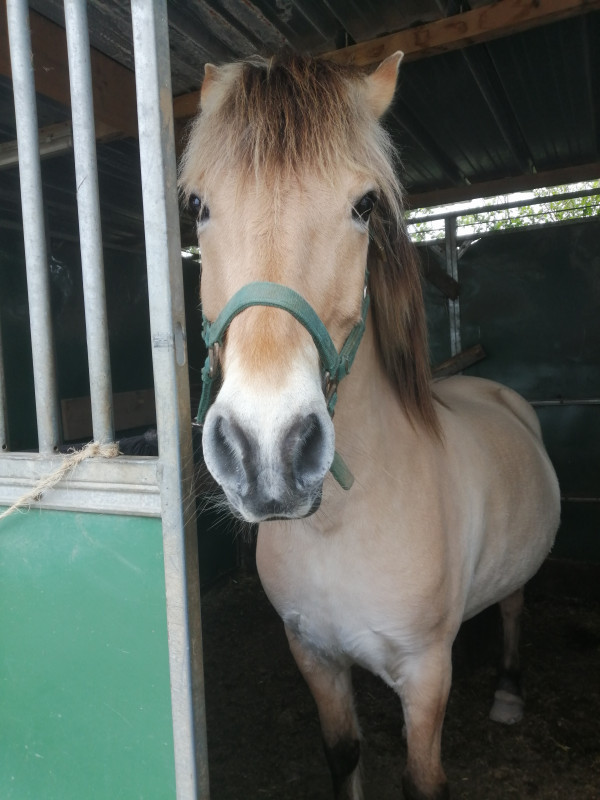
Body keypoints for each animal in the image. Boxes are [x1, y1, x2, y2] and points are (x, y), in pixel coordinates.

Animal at [179, 53, 564, 796]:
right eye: (199, 206)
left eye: (362, 207)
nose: (266, 449)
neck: (340, 527)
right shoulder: (314, 657)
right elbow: (343, 754)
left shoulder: (426, 674)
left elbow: (421, 780)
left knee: (513, 605)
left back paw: (508, 690)